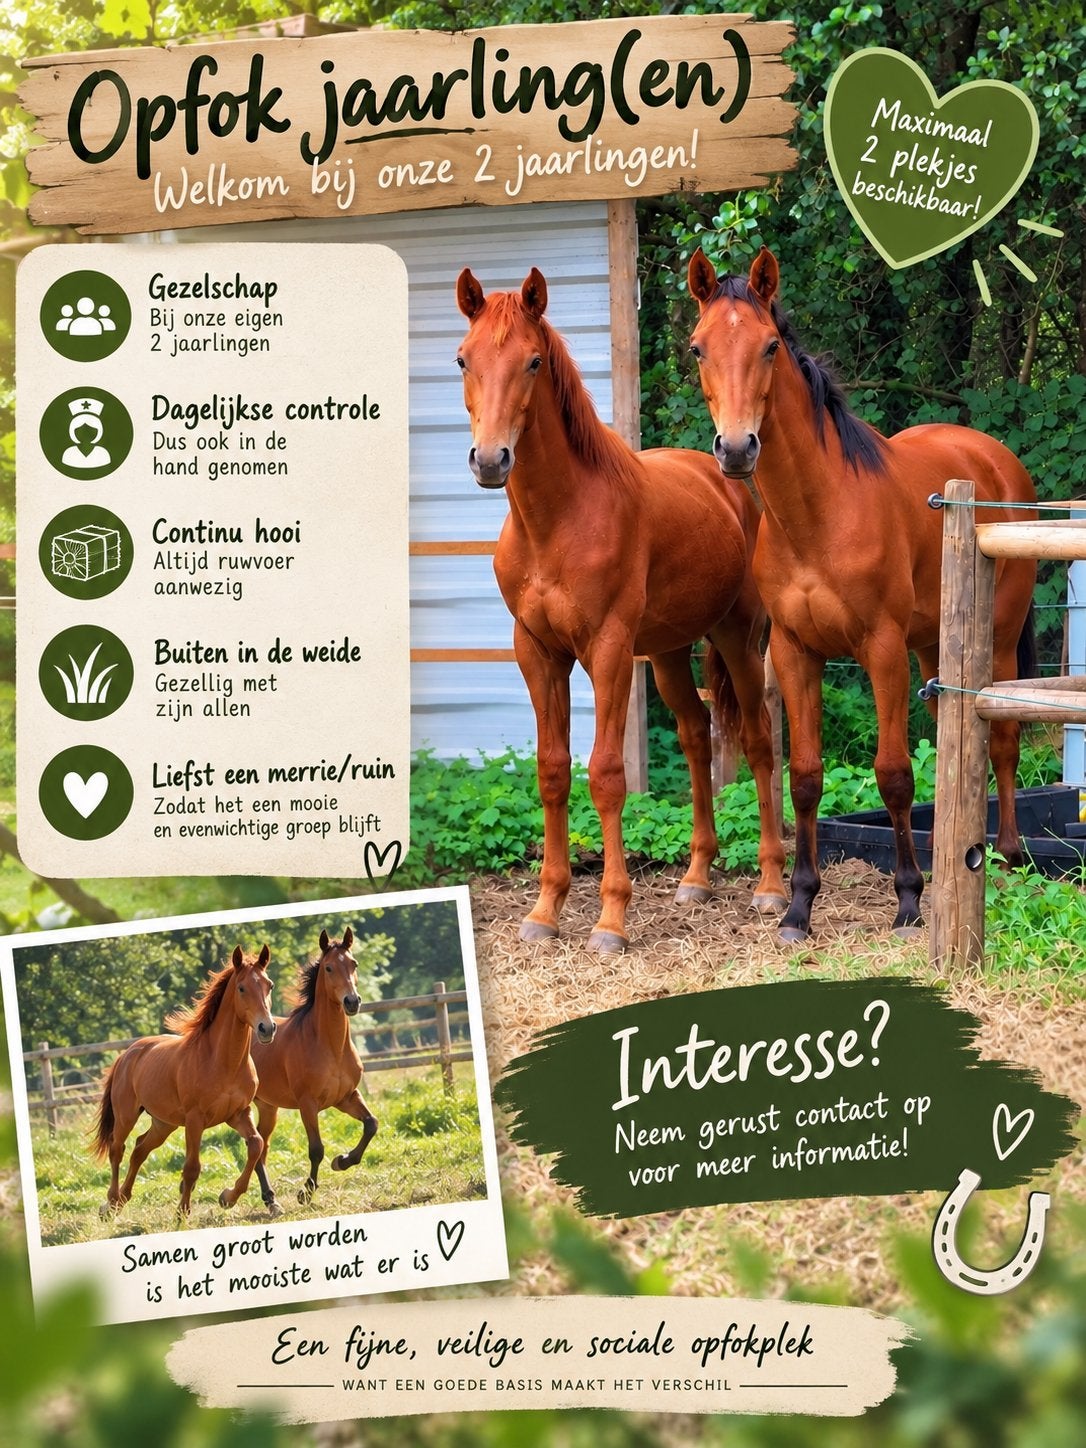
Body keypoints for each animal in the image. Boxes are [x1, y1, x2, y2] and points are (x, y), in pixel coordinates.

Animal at [93, 944, 276, 1217]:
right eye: (242, 988)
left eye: (269, 985)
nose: (267, 1028)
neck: (222, 1062)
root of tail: (127, 1055)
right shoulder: (195, 1119)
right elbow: (192, 1167)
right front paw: (182, 1212)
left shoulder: (239, 1113)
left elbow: (256, 1144)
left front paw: (228, 1197)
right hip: (126, 1115)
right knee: (118, 1149)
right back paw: (112, 1202)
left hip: (163, 1123)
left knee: (139, 1149)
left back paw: (123, 1197)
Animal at [251, 927, 378, 1210]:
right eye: (329, 968)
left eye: (354, 964)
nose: (352, 1002)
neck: (330, 1046)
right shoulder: (308, 1104)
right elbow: (316, 1149)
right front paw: (306, 1193)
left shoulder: (346, 1097)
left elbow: (371, 1124)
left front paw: (342, 1161)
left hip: (268, 1108)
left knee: (261, 1148)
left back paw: (270, 1199)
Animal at [455, 265, 787, 952]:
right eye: (463, 359)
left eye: (532, 361)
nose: (491, 460)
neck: (557, 522)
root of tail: (730, 486)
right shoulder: (538, 653)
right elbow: (553, 771)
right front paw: (545, 910)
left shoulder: (606, 651)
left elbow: (607, 775)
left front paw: (610, 918)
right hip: (667, 655)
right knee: (695, 736)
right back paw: (696, 877)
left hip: (739, 640)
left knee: (758, 742)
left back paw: (771, 887)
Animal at [686, 245, 1037, 942]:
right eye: (698, 348)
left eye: (770, 346)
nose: (736, 448)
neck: (818, 517)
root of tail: (995, 459)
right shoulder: (795, 653)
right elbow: (805, 779)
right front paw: (798, 906)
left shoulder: (881, 650)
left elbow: (894, 775)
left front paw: (908, 901)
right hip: (935, 648)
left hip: (1000, 637)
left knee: (1004, 740)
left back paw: (1009, 857)